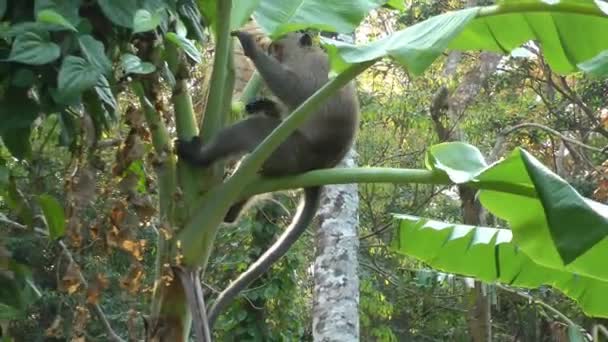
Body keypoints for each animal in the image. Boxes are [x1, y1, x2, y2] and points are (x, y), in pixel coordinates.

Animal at [176, 28, 358, 324]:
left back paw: (199, 157)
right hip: (283, 165)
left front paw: (250, 46)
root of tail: (316, 169)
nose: (270, 48)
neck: (306, 53)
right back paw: (229, 211)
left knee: (256, 130)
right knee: (251, 170)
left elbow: (294, 89)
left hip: (290, 152)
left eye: (278, 45)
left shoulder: (313, 68)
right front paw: (263, 102)